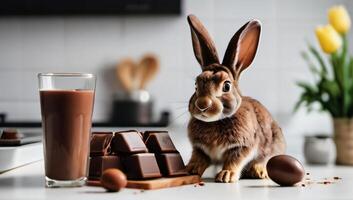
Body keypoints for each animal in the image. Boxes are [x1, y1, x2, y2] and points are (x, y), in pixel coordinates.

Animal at [186, 14, 284, 183]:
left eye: (226, 86)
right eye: (196, 85)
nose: (202, 104)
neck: (216, 122)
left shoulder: (243, 147)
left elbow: (234, 160)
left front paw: (226, 175)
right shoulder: (199, 149)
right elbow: (198, 158)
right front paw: (189, 169)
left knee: (264, 159)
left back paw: (258, 171)